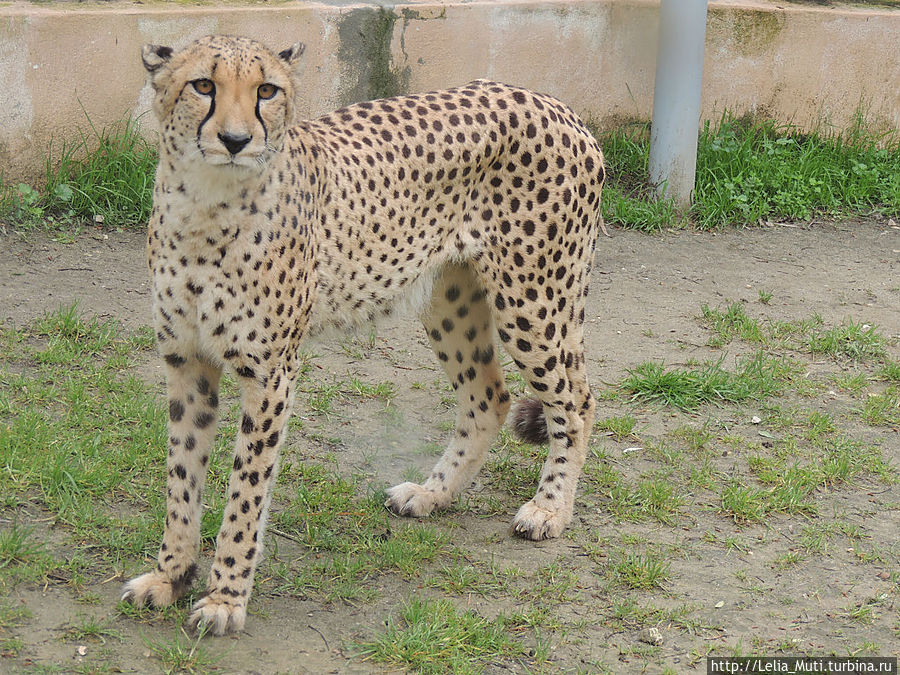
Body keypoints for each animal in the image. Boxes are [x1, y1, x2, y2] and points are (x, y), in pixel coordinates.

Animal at [123, 34, 604, 636]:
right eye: (203, 85)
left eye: (266, 90)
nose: (235, 140)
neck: (206, 205)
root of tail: (554, 103)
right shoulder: (186, 362)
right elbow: (181, 478)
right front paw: (170, 577)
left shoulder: (271, 376)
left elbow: (245, 494)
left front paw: (224, 600)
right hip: (449, 299)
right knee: (488, 396)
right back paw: (431, 494)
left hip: (534, 303)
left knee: (577, 401)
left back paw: (549, 509)